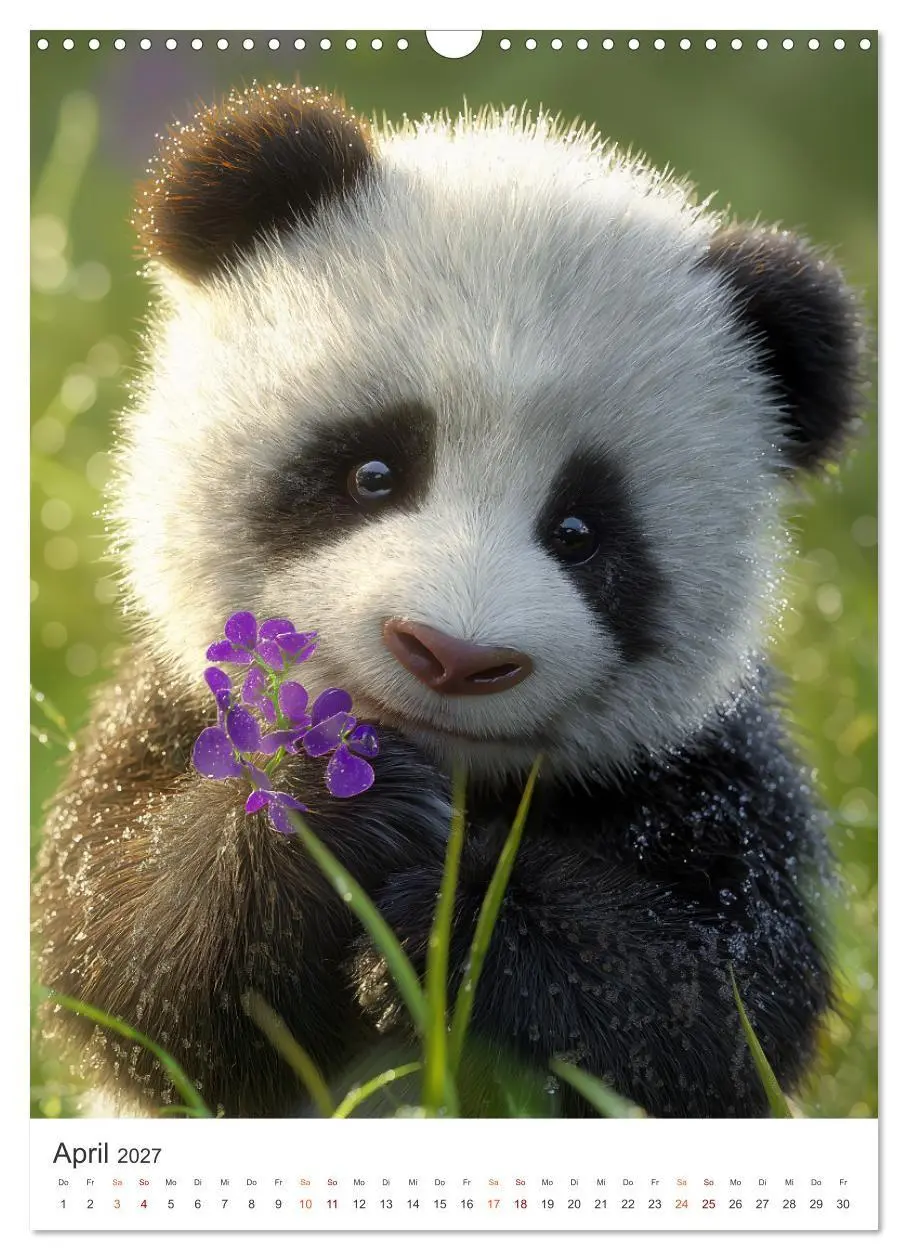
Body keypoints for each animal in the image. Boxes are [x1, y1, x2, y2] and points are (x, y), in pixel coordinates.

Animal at [34, 84, 867, 1119]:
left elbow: (714, 1007)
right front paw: (331, 800)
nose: (454, 656)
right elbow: (120, 952)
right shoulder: (168, 707)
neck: (457, 771)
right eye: (372, 471)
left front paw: (451, 921)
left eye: (581, 532)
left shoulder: (710, 776)